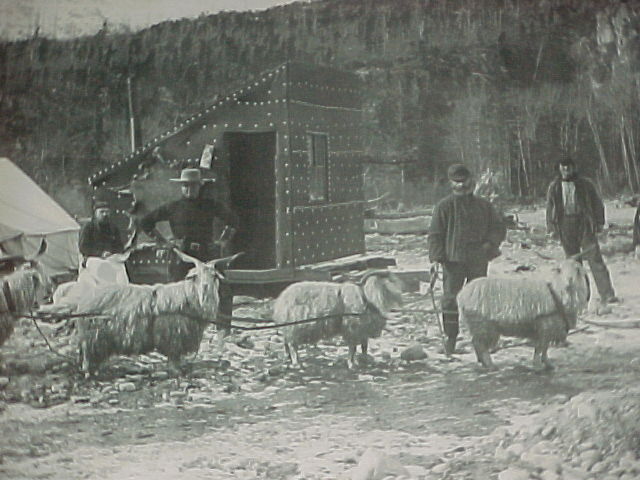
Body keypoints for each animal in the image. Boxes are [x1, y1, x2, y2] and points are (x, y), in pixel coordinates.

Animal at [75, 251, 240, 376]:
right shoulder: (173, 334)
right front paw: (176, 370)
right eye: (195, 276)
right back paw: (89, 372)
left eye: (214, 276)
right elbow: (173, 356)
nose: (205, 287)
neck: (188, 296)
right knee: (87, 353)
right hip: (93, 335)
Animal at [272, 272, 402, 370]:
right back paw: (296, 362)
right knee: (292, 345)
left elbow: (363, 347)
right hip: (296, 327)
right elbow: (353, 348)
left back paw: (288, 357)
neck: (366, 300)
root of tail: (282, 300)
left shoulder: (360, 332)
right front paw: (351, 364)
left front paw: (363, 360)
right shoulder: (352, 330)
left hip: (291, 327)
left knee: (286, 342)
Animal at [456, 258, 592, 372]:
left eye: (577, 271)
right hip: (483, 325)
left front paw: (547, 363)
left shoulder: (546, 329)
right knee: (480, 345)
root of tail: (462, 294)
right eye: (559, 270)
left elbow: (544, 348)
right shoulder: (545, 325)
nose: (569, 280)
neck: (557, 292)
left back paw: (484, 364)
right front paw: (538, 365)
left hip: (479, 326)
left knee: (476, 344)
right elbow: (540, 347)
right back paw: (490, 365)